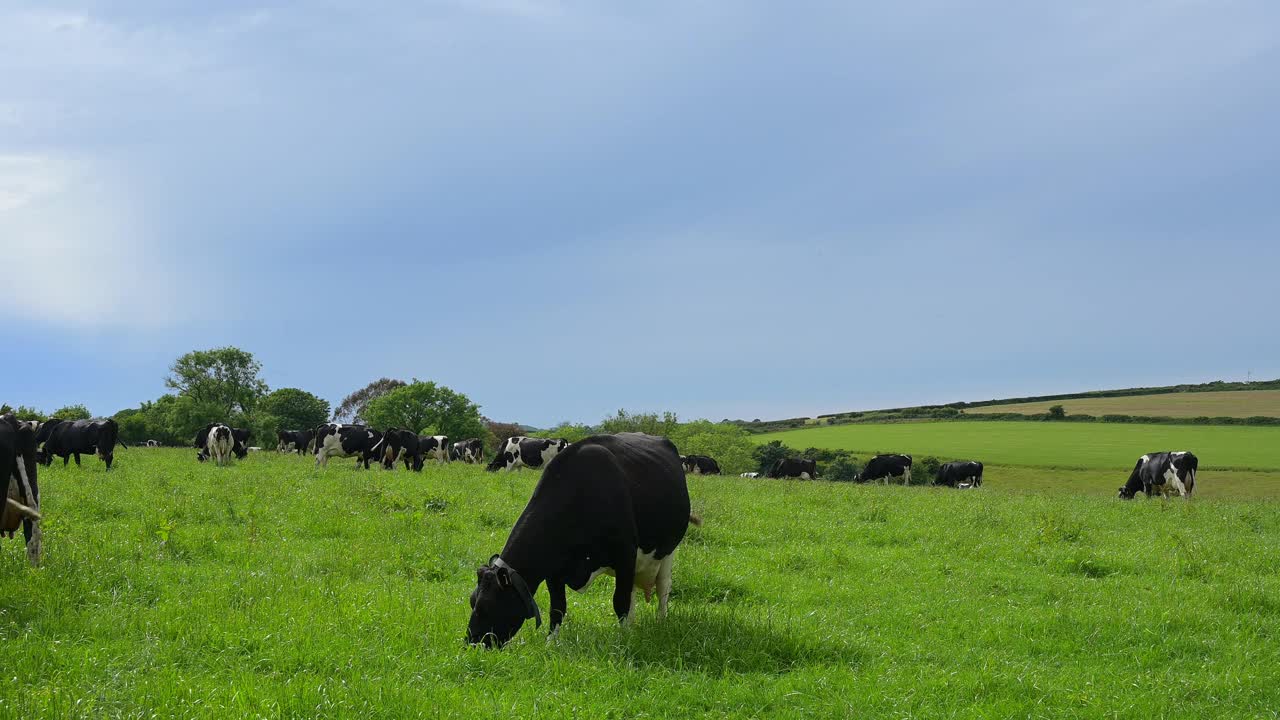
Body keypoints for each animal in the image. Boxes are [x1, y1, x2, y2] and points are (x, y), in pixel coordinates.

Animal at [468, 427, 696, 648]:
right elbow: (558, 608)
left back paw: (661, 621)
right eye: (472, 602)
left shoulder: (625, 554)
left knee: (663, 588)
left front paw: (624, 640)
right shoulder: (554, 568)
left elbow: (619, 601)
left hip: (667, 551)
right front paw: (550, 643)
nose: (471, 644)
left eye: (486, 607)